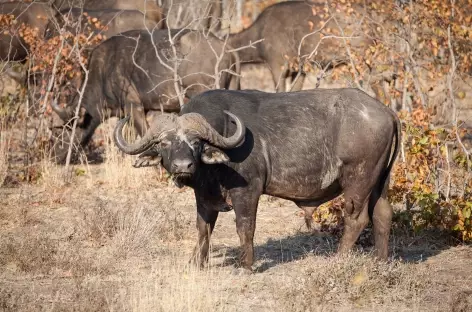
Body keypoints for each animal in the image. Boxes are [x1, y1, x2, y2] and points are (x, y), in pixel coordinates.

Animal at [51, 28, 240, 163]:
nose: (54, 156)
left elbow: (144, 135)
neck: (104, 71)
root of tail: (228, 49)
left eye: (61, 131)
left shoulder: (134, 106)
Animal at [112, 87, 400, 270]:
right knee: (383, 214)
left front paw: (246, 265)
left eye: (196, 142)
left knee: (357, 219)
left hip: (358, 181)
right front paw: (197, 263)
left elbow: (245, 227)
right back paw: (380, 261)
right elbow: (203, 228)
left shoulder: (247, 191)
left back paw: (339, 259)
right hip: (380, 182)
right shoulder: (204, 196)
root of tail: (387, 112)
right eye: (164, 143)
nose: (183, 165)